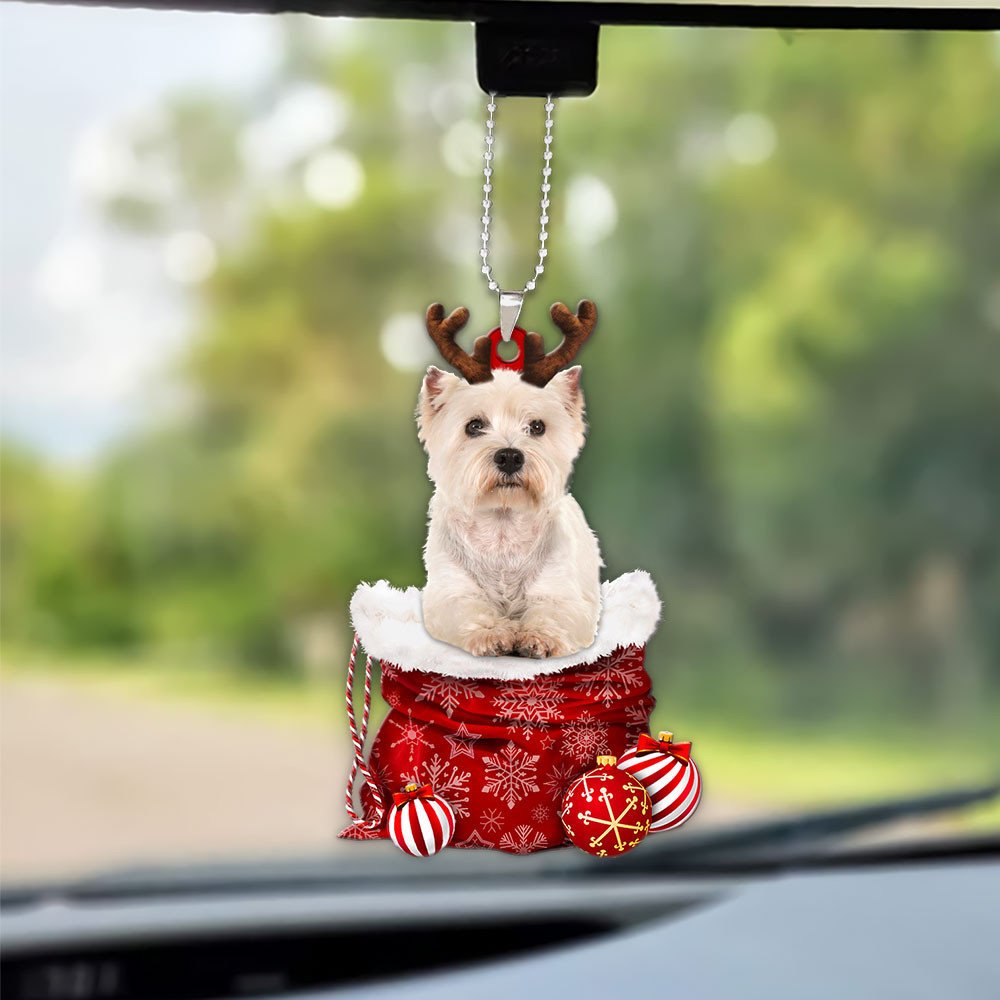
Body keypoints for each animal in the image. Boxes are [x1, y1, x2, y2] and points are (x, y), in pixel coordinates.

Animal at [416, 296, 600, 656]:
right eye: (474, 425)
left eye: (537, 426)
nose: (510, 457)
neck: (502, 529)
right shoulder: (448, 594)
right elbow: (468, 608)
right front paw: (493, 634)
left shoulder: (566, 595)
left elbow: (553, 611)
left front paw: (537, 637)